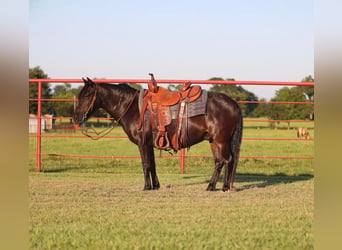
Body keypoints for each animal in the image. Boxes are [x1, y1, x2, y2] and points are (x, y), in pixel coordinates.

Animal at [73, 76, 242, 191]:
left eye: (87, 95)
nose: (76, 117)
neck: (133, 108)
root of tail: (233, 103)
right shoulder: (149, 144)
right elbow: (152, 164)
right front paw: (156, 185)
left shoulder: (142, 143)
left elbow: (145, 164)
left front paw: (147, 187)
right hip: (213, 141)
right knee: (219, 162)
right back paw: (211, 186)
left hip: (221, 141)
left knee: (228, 160)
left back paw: (225, 187)